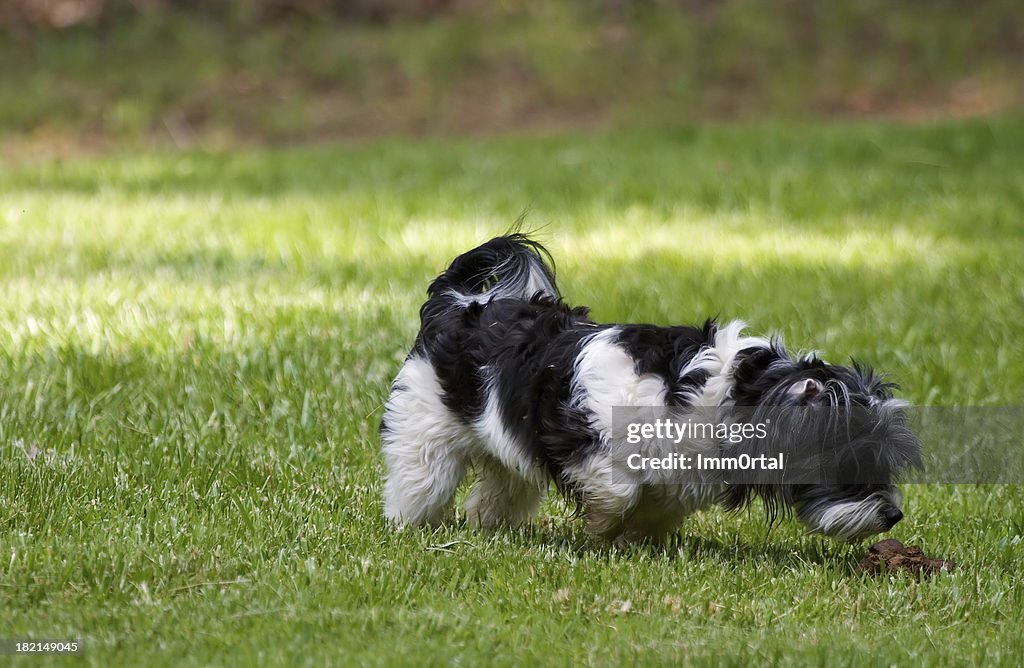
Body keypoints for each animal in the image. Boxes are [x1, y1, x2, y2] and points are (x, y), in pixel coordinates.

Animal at [380, 234, 925, 540]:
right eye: (855, 463)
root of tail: (460, 301)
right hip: (426, 431)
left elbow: (659, 506)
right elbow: (619, 491)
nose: (893, 516)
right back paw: (410, 524)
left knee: (502, 486)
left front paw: (635, 537)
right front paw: (602, 526)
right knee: (421, 478)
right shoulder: (586, 436)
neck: (729, 391)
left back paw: (487, 523)